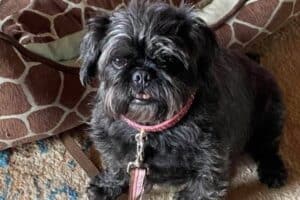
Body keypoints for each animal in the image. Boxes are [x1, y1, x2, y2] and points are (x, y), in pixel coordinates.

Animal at [81, 0, 288, 199]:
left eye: (167, 60)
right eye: (119, 61)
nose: (142, 75)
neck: (150, 128)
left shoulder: (212, 157)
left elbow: (205, 185)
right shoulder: (110, 142)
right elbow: (115, 165)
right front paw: (107, 186)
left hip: (270, 116)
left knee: (267, 148)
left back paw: (273, 171)